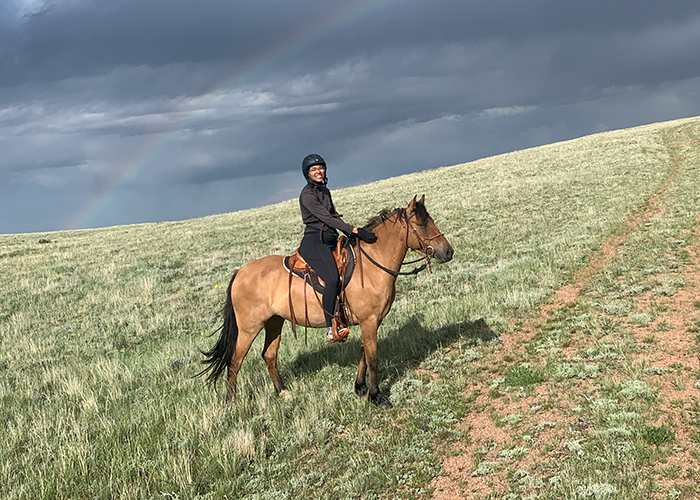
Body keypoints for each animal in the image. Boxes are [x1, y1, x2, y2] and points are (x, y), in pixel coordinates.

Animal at [199, 195, 454, 407]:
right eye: (422, 224)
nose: (448, 252)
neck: (372, 264)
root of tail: (240, 272)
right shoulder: (369, 320)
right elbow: (372, 358)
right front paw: (376, 396)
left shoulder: (371, 322)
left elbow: (364, 353)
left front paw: (360, 388)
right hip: (249, 328)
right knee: (235, 361)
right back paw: (231, 403)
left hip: (274, 322)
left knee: (269, 356)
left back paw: (282, 392)